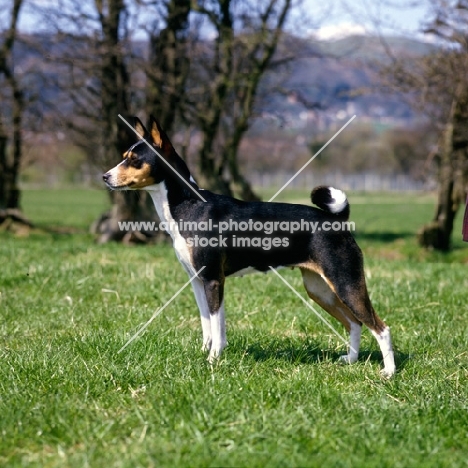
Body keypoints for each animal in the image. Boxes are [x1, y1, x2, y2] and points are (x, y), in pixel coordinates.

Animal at [102, 116, 394, 376]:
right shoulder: (197, 281)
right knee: (355, 323)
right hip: (321, 289)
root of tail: (337, 220)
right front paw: (203, 353)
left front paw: (213, 360)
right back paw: (351, 360)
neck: (189, 207)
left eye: (134, 160)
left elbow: (218, 327)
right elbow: (206, 324)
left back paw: (389, 373)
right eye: (124, 156)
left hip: (345, 282)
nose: (105, 177)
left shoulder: (213, 280)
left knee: (380, 328)